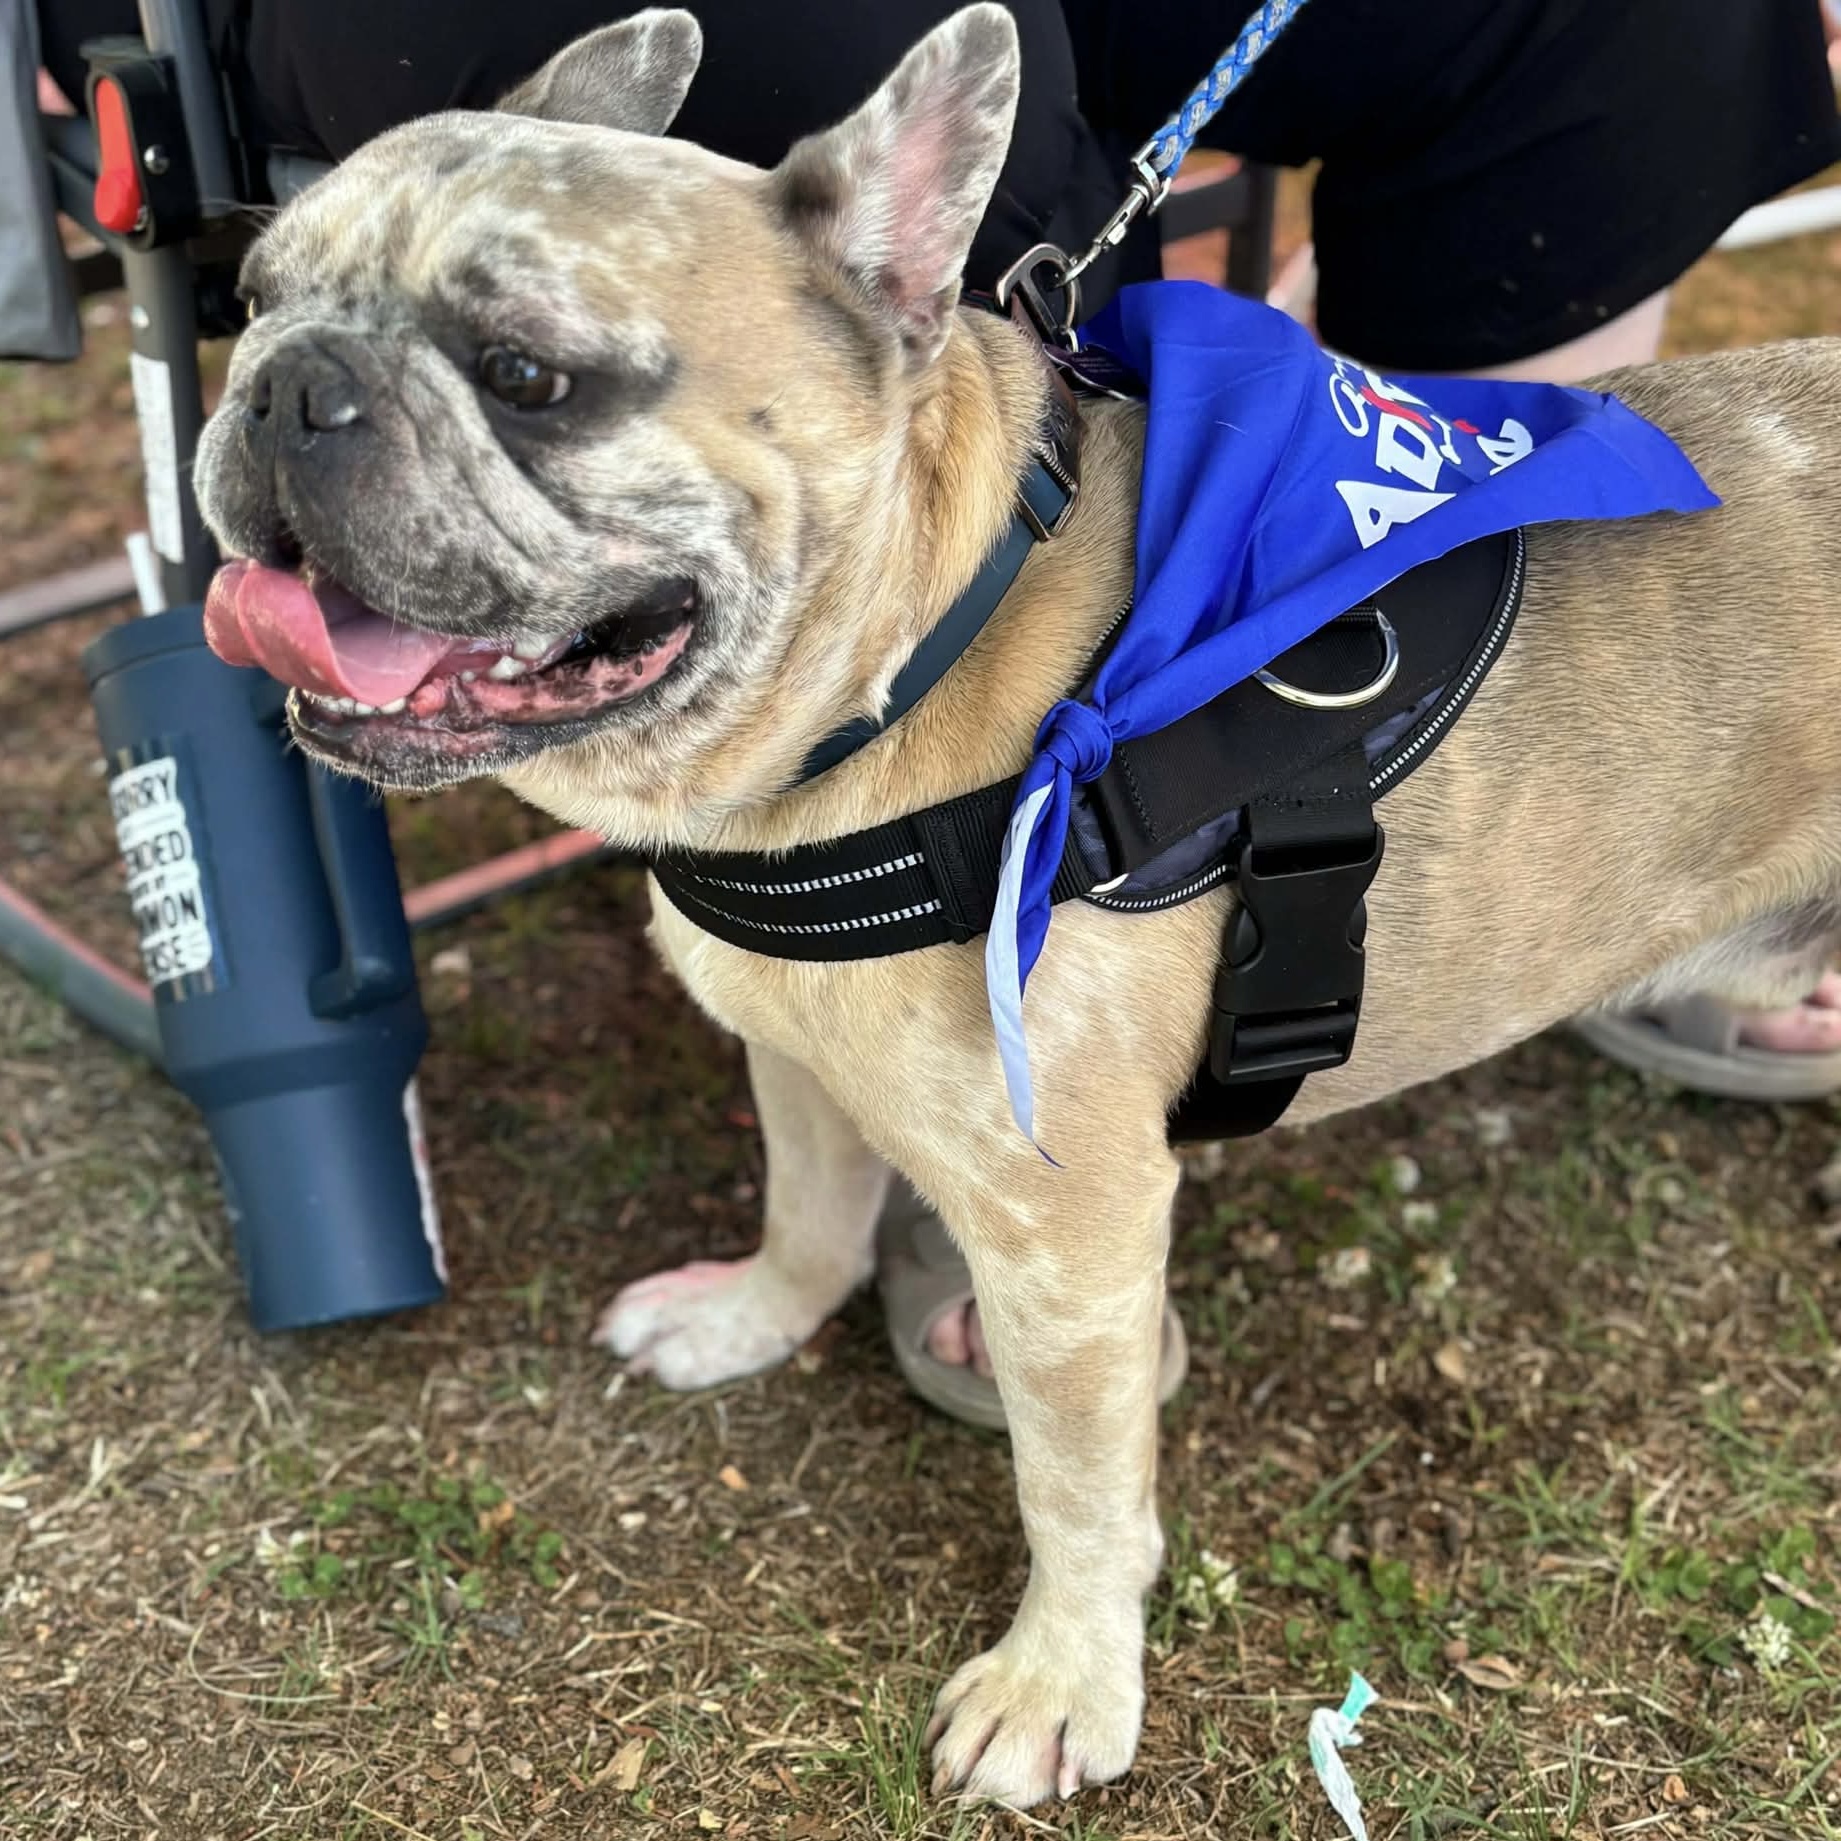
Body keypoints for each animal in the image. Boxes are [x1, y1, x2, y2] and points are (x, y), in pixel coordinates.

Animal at [193, 4, 1841, 1806]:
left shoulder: (1072, 1234)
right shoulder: (799, 1057)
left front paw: (1060, 1683)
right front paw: (751, 1320)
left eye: (529, 376)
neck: (901, 671)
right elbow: (810, 1208)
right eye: (252, 298)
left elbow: (1074, 1486)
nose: (290, 386)